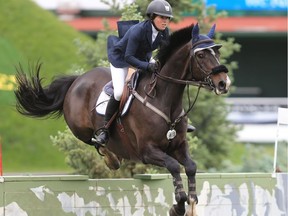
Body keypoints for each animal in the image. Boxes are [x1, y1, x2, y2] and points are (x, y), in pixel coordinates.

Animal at [15, 23, 232, 216]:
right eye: (201, 55)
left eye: (217, 53)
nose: (224, 83)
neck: (164, 99)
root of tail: (77, 79)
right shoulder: (147, 151)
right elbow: (173, 166)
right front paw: (178, 206)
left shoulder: (178, 145)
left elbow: (191, 167)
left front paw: (192, 204)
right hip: (80, 127)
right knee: (94, 140)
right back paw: (111, 157)